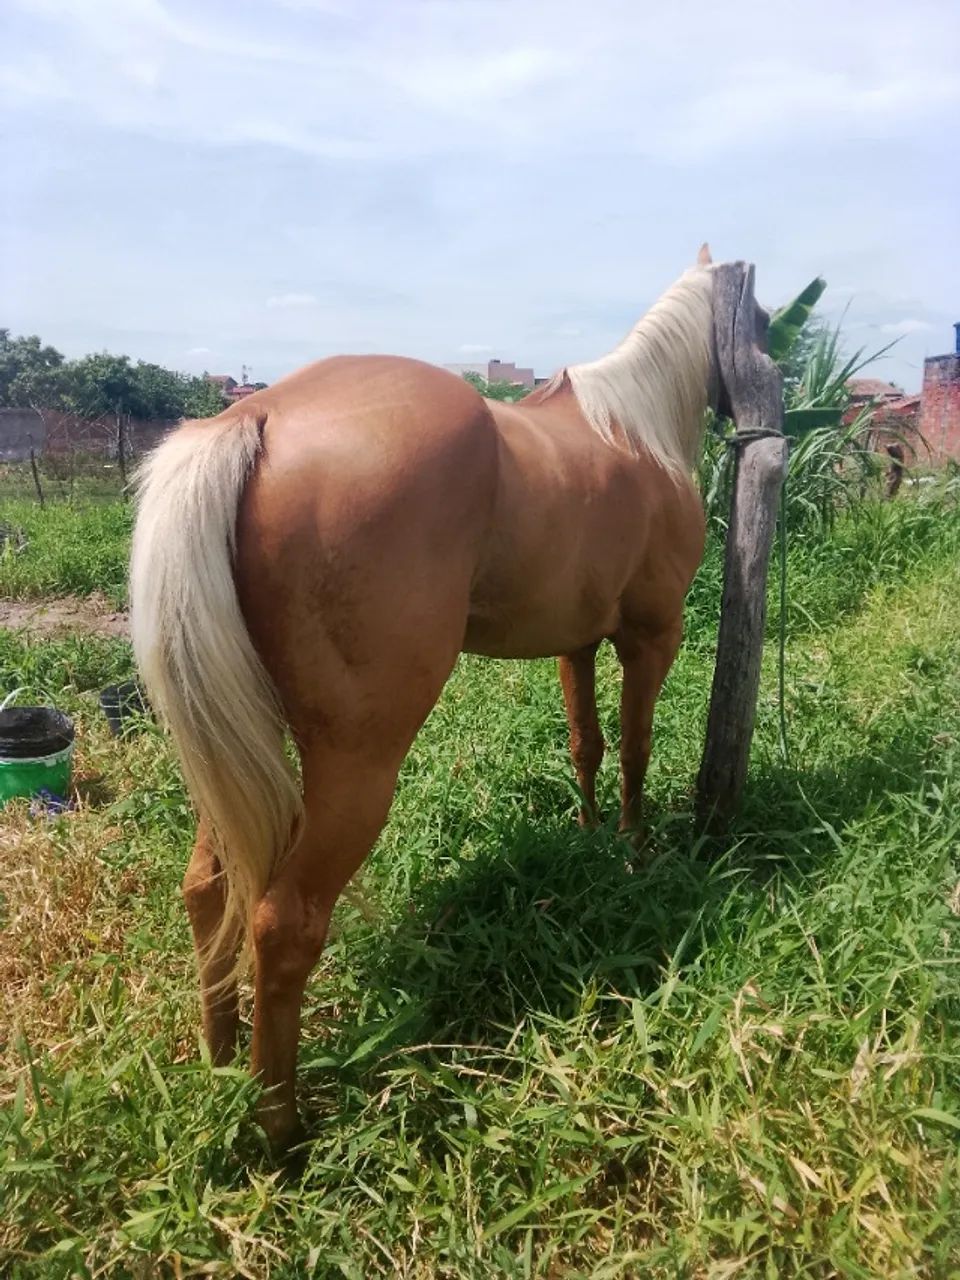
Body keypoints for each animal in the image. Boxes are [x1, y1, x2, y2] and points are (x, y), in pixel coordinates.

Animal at [130, 243, 730, 1149]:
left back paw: (223, 1057)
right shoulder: (651, 637)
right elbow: (635, 746)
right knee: (283, 921)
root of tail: (258, 414)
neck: (634, 429)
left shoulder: (578, 642)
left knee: (210, 888)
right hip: (355, 763)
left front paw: (592, 838)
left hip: (237, 746)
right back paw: (281, 1128)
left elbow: (585, 743)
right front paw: (634, 848)